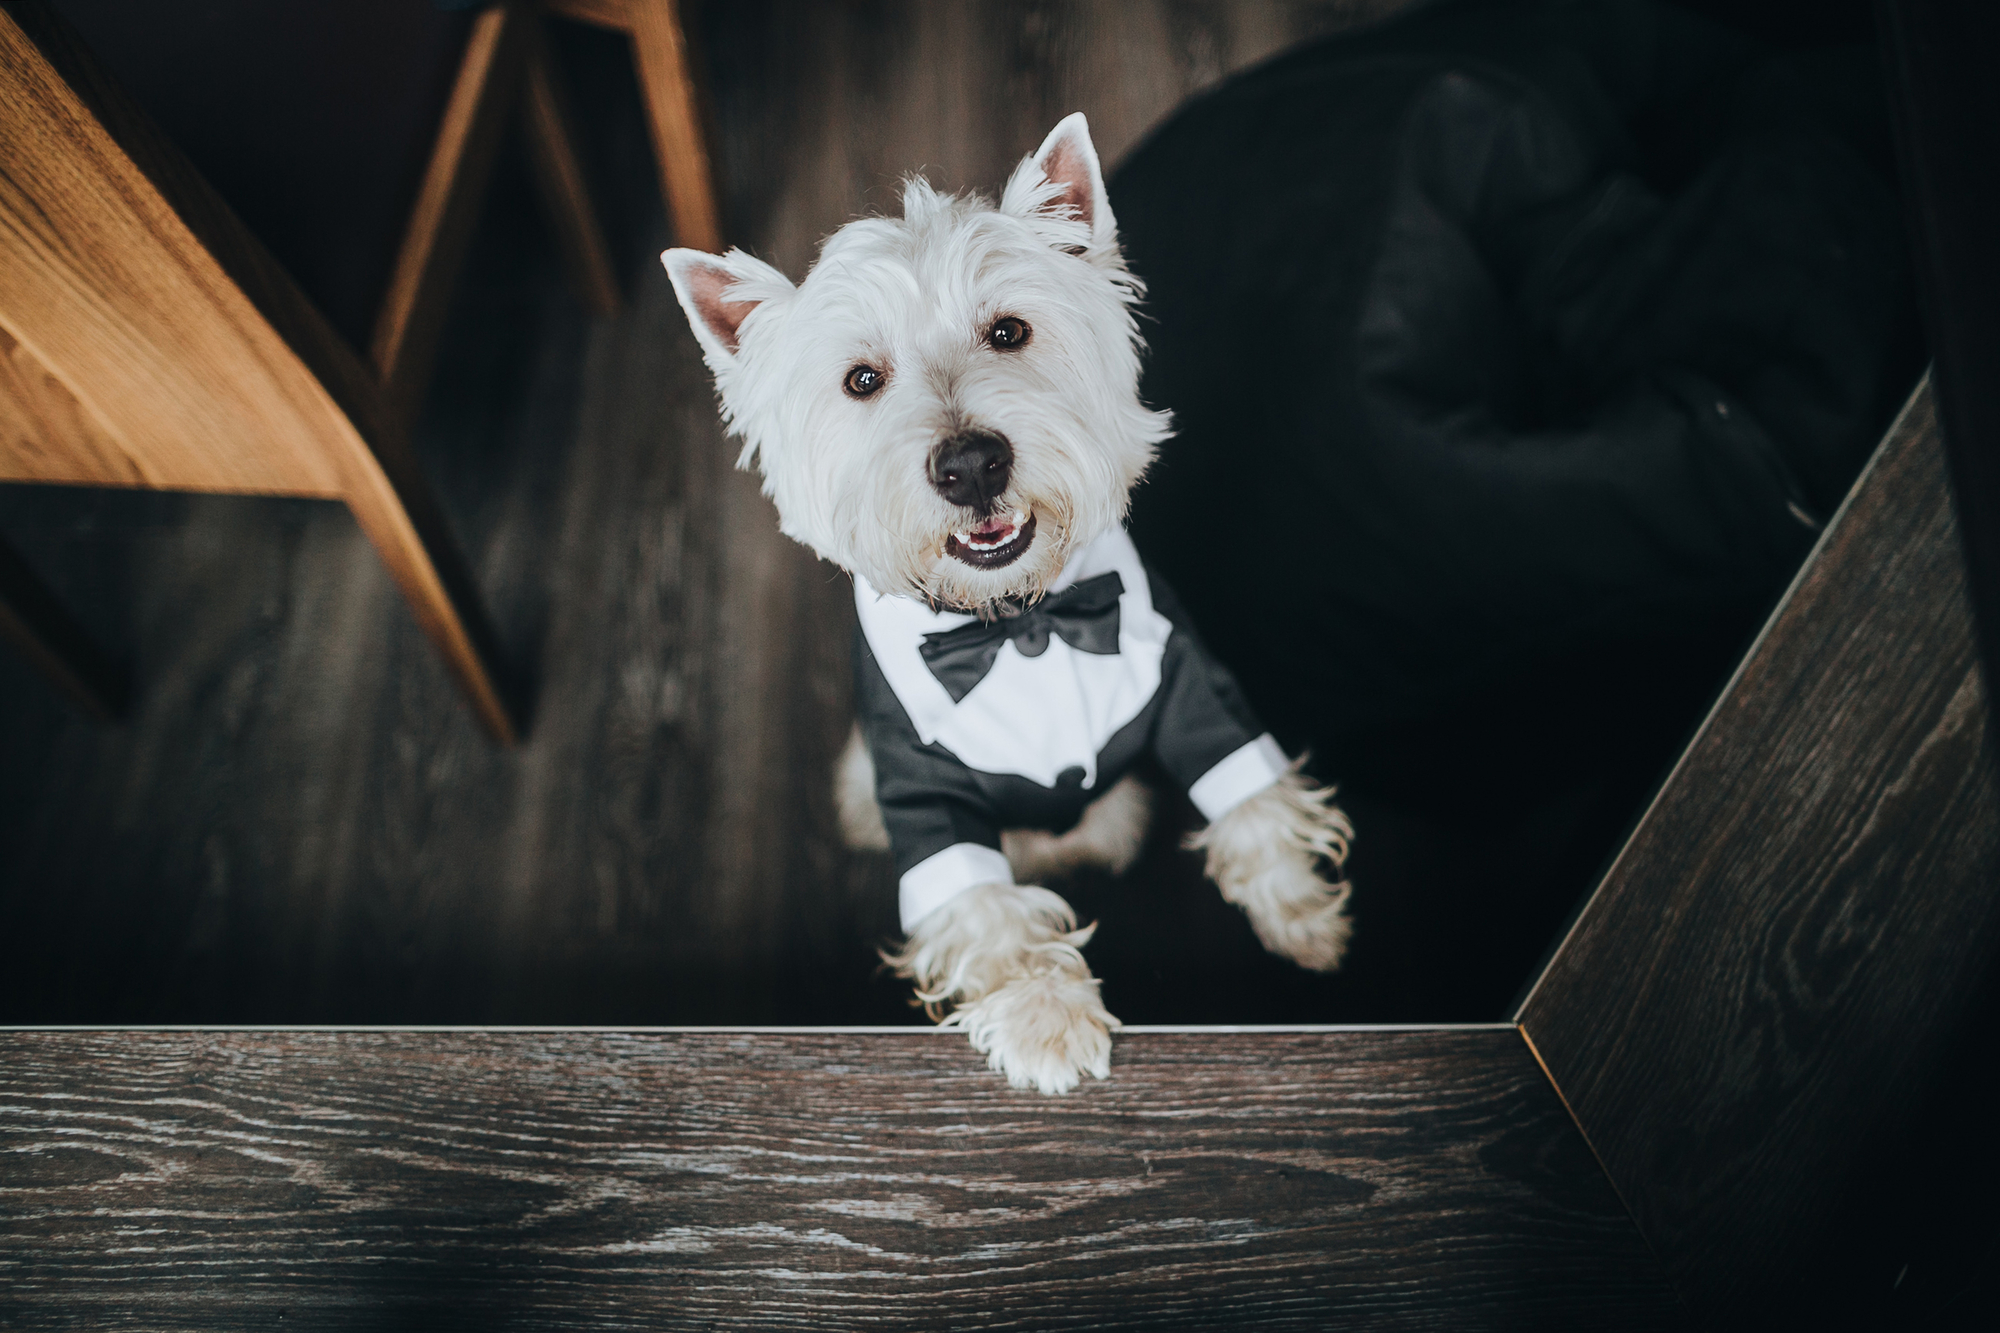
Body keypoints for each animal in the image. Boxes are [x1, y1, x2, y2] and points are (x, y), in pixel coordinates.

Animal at [664, 114, 1352, 1088]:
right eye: (862, 380)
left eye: (1008, 330)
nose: (970, 464)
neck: (1019, 621)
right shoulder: (923, 794)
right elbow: (980, 905)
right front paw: (1045, 1016)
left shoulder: (1188, 678)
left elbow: (1248, 790)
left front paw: (1302, 914)